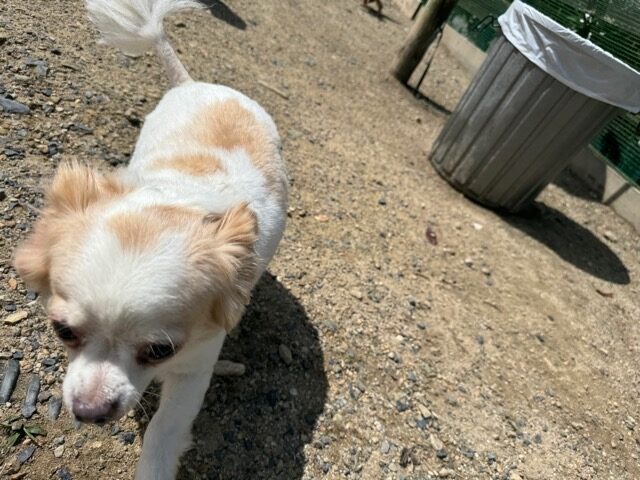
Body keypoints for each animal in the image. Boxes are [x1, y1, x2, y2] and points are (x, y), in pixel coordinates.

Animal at [12, 0, 287, 478]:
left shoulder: (196, 366)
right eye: (62, 330)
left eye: (160, 350)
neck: (176, 201)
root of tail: (195, 83)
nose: (90, 411)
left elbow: (165, 429)